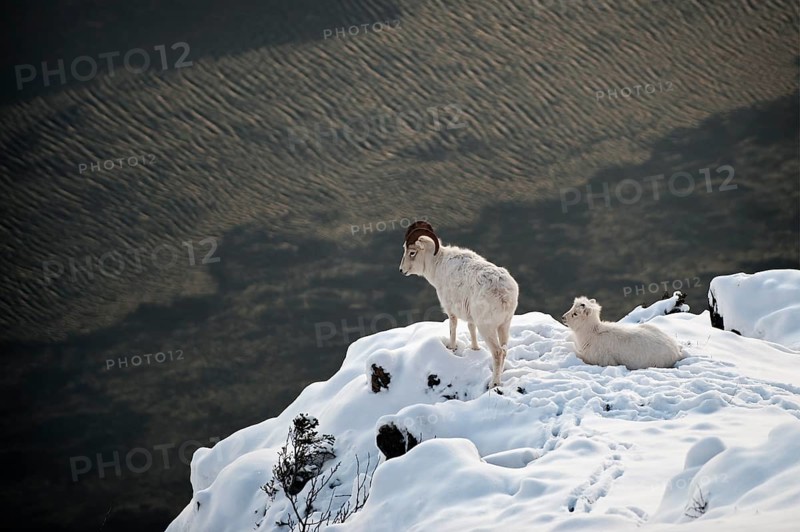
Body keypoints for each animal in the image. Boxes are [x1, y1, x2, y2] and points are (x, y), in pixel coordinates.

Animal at [399, 221, 519, 387]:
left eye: (412, 252)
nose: (401, 270)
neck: (437, 264)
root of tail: (504, 294)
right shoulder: (470, 318)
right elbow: (471, 329)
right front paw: (474, 349)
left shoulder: (451, 311)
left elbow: (453, 328)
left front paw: (452, 347)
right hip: (504, 325)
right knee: (505, 349)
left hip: (487, 327)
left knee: (497, 352)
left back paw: (493, 384)